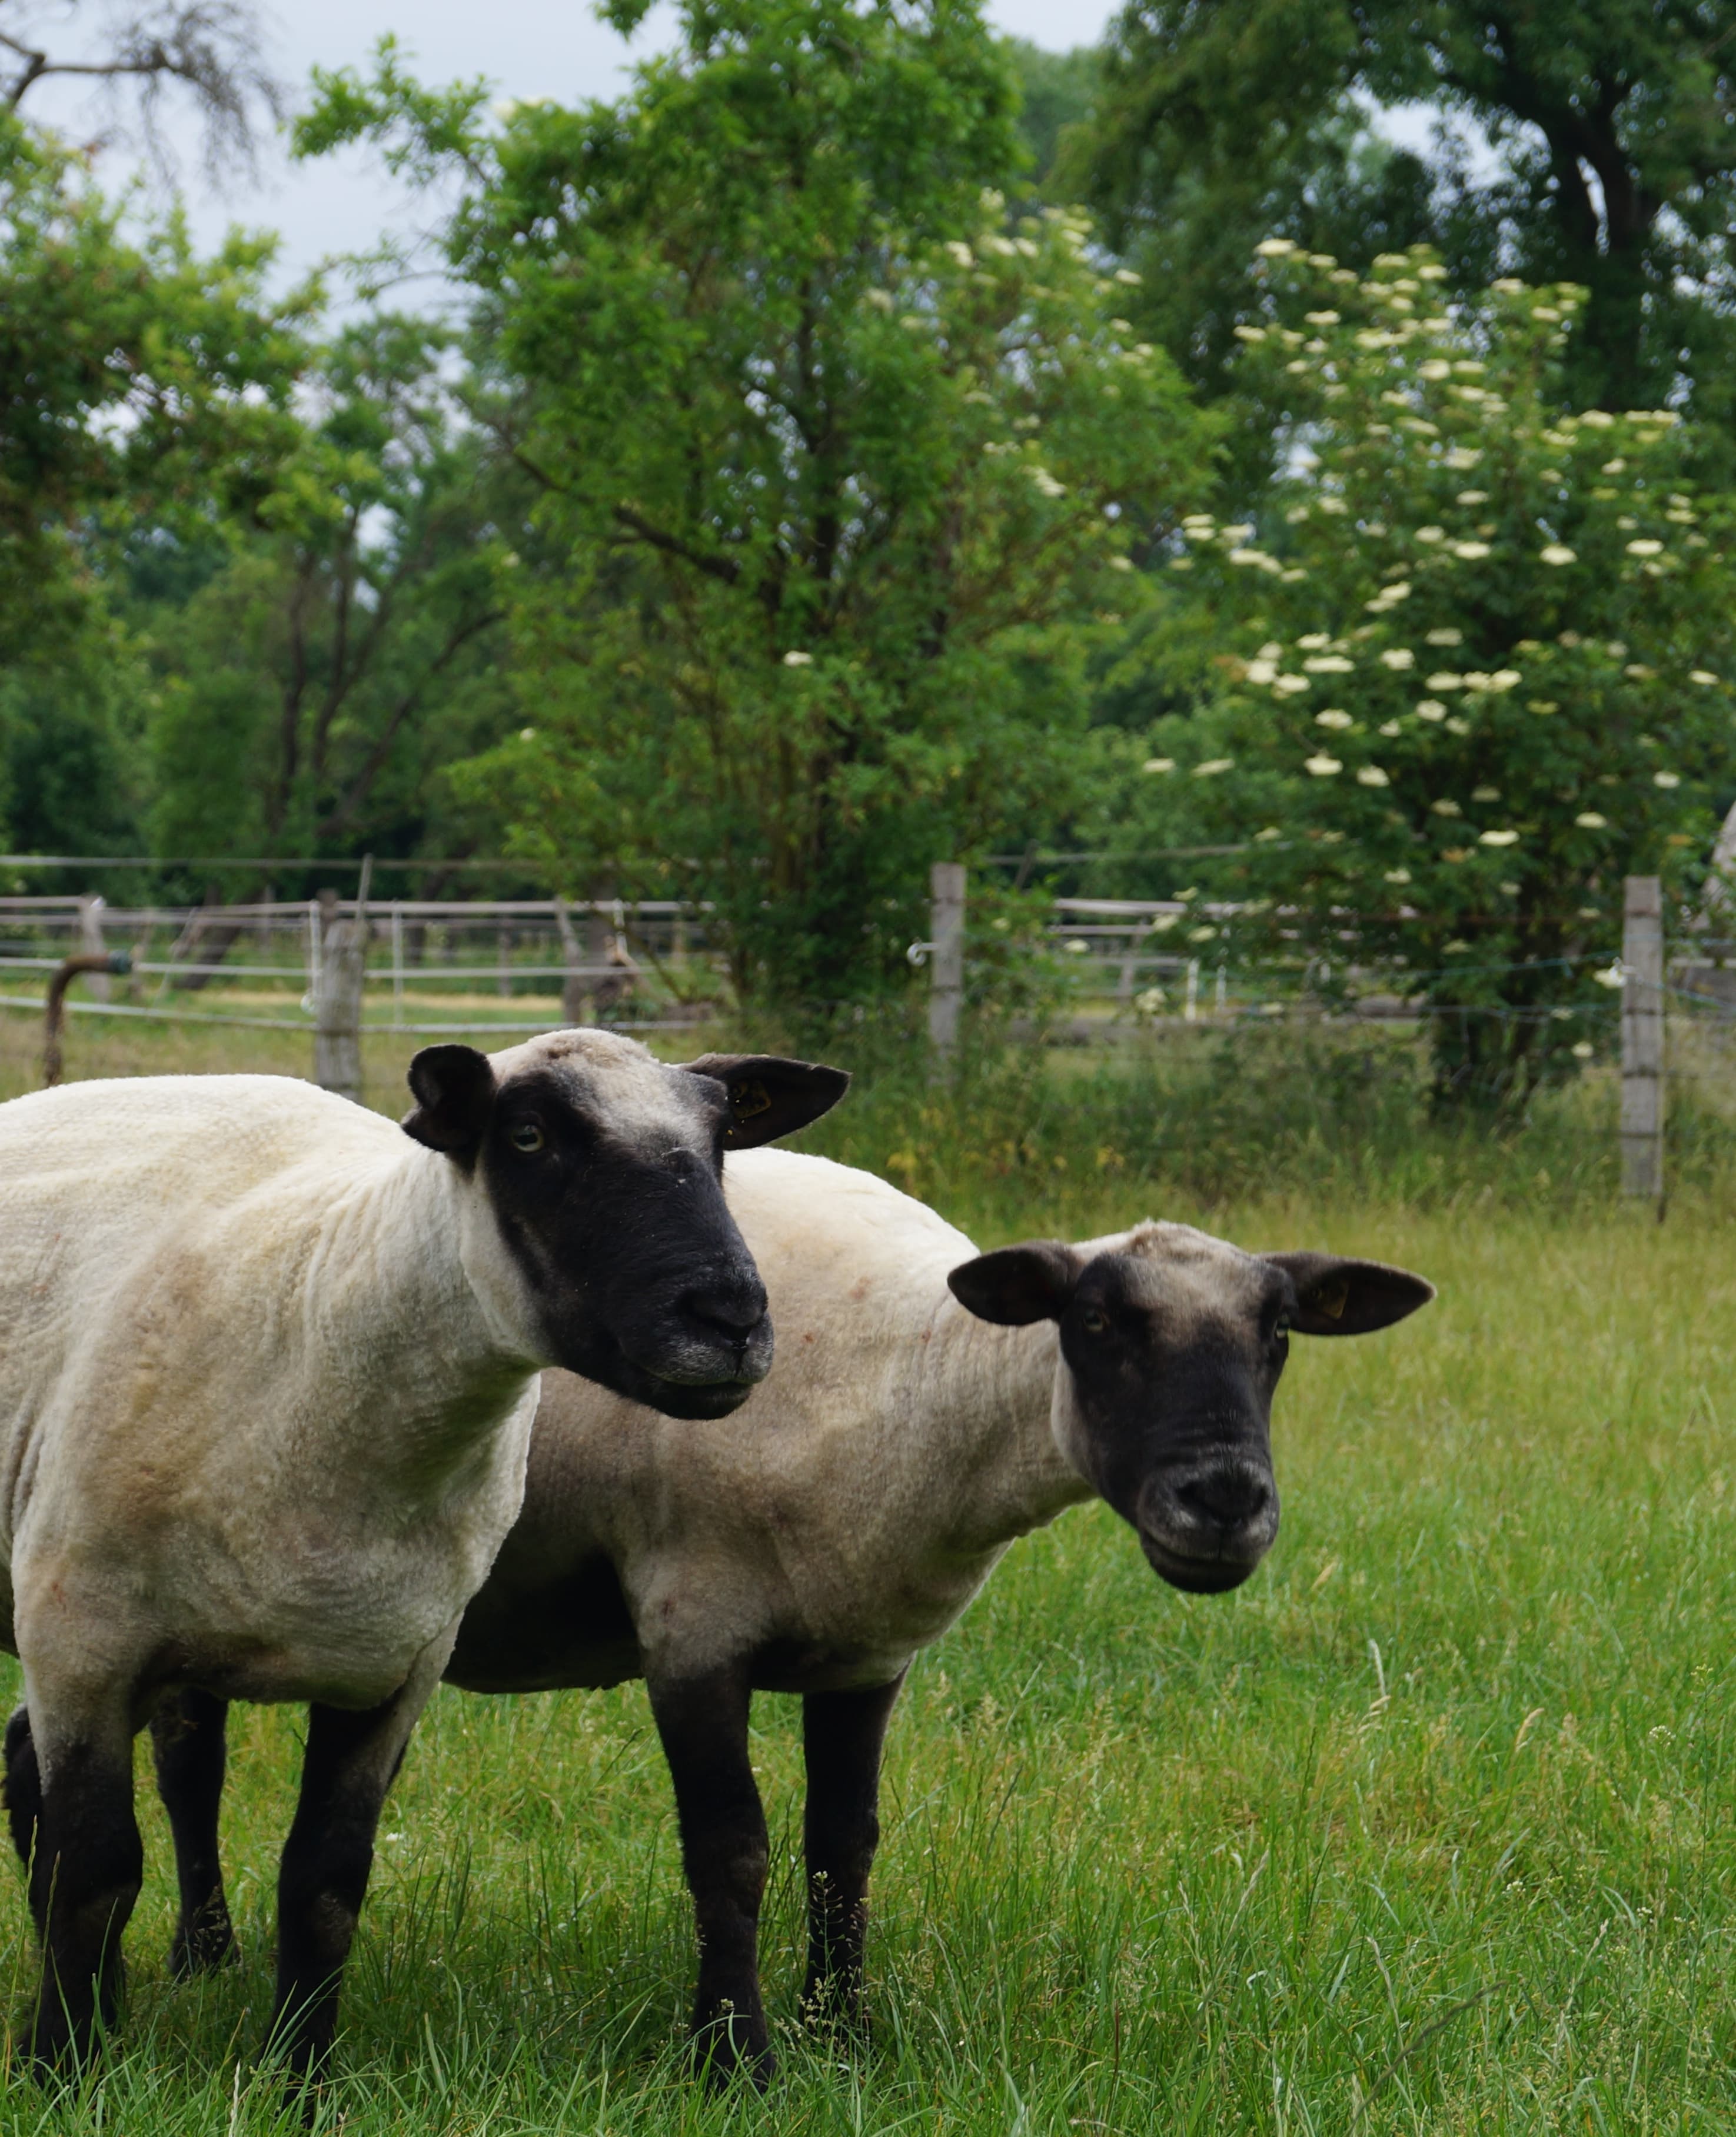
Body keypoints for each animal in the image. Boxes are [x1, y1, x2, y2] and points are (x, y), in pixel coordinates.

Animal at [0, 1026, 846, 2077]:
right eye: (527, 1136)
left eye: (721, 1139)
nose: (728, 1318)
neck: (317, 1322)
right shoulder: (83, 1642)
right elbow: (92, 1874)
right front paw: (58, 2072)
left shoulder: (393, 1672)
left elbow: (325, 1886)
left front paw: (300, 2083)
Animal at [135, 1154, 1428, 2085]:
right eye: (1097, 1322)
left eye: (1277, 1333)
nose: (1223, 1500)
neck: (916, 1382)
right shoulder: (692, 1624)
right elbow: (734, 1849)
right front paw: (735, 2057)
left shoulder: (866, 1649)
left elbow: (841, 1847)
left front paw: (843, 2031)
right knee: (187, 1764)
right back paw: (204, 1960)